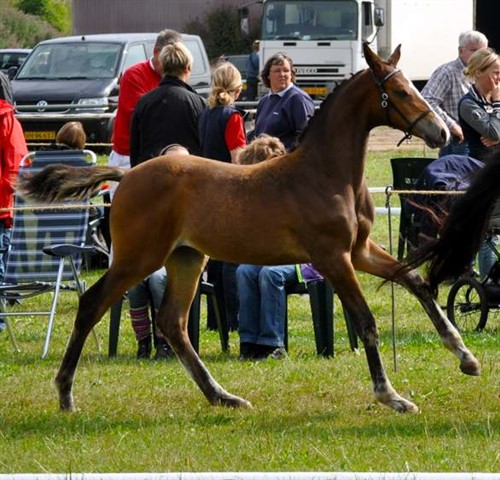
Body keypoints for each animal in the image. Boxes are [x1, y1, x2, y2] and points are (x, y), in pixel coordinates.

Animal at [19, 43, 480, 414]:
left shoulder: (360, 251)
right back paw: (65, 393)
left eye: (412, 86)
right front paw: (392, 396)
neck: (326, 174)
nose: (441, 132)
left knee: (173, 322)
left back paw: (222, 396)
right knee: (92, 304)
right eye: (400, 91)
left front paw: (465, 357)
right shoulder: (333, 258)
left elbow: (416, 282)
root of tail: (126, 176)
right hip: (138, 258)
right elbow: (366, 320)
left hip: (187, 258)